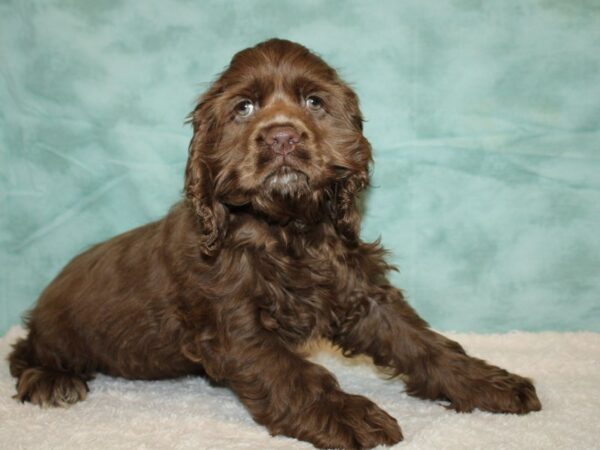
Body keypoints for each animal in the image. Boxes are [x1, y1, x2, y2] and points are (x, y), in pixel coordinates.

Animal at [7, 39, 540, 450]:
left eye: (314, 103)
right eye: (244, 108)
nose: (282, 137)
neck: (287, 229)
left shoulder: (360, 292)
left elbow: (421, 340)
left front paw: (490, 383)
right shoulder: (235, 326)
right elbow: (296, 375)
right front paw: (350, 416)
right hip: (61, 332)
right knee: (23, 351)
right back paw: (52, 382)